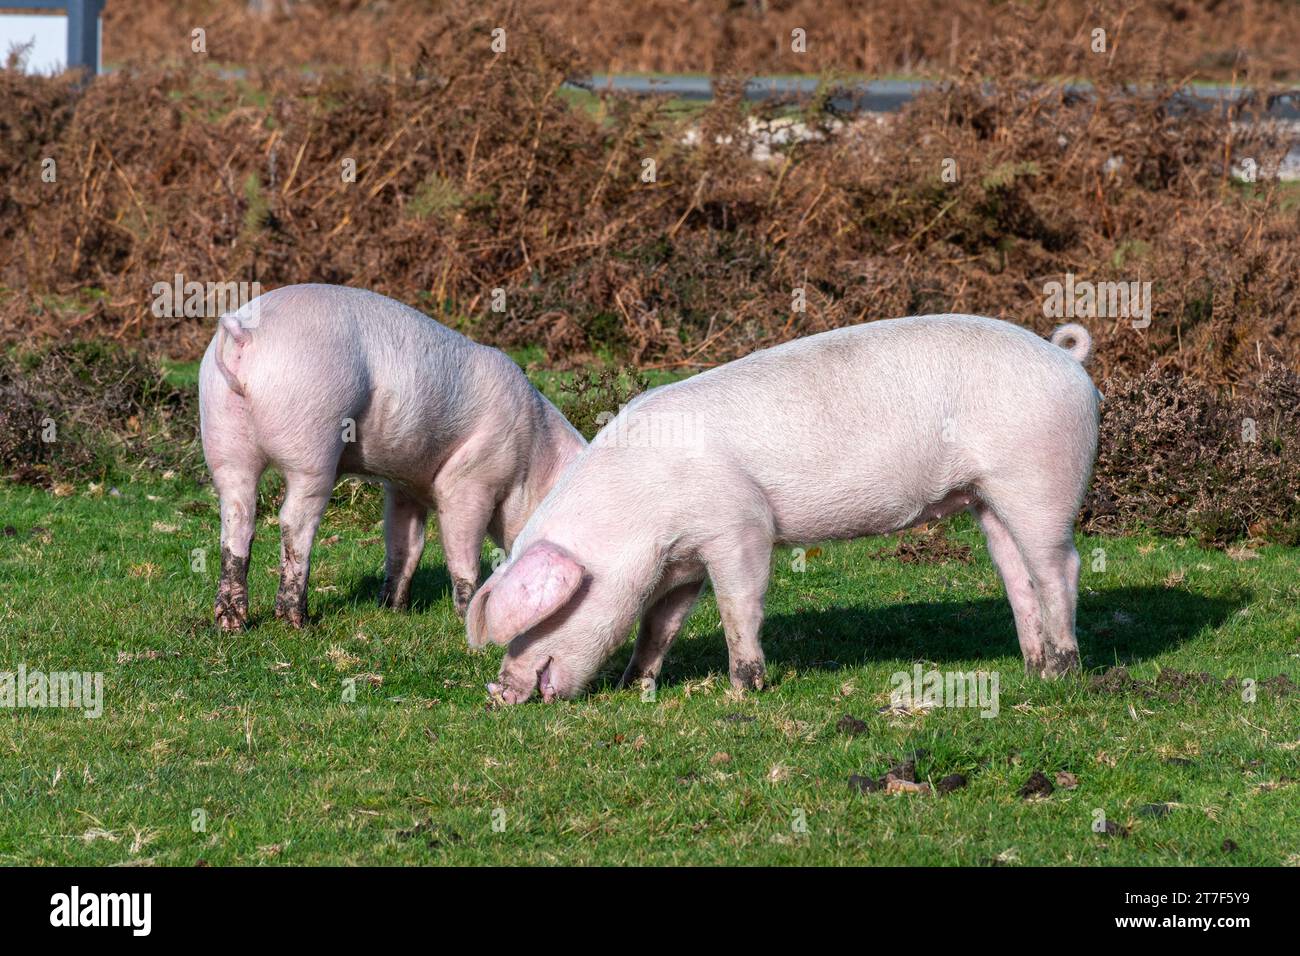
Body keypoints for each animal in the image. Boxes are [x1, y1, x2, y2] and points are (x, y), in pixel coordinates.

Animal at [197, 282, 585, 629]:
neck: (530, 459)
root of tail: (244, 336)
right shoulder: (468, 480)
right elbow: (462, 551)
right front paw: (466, 615)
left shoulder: (405, 484)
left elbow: (406, 545)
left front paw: (393, 609)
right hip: (310, 440)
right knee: (293, 521)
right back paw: (298, 622)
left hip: (222, 437)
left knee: (236, 517)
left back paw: (231, 623)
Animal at [465, 314, 1097, 702]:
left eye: (544, 618)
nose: (497, 693)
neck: (640, 513)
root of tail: (1067, 360)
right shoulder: (681, 561)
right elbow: (659, 625)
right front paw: (633, 684)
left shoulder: (738, 524)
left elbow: (738, 605)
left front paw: (744, 688)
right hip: (990, 498)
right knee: (1017, 575)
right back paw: (1033, 669)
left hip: (1039, 481)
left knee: (1059, 568)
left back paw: (1065, 674)